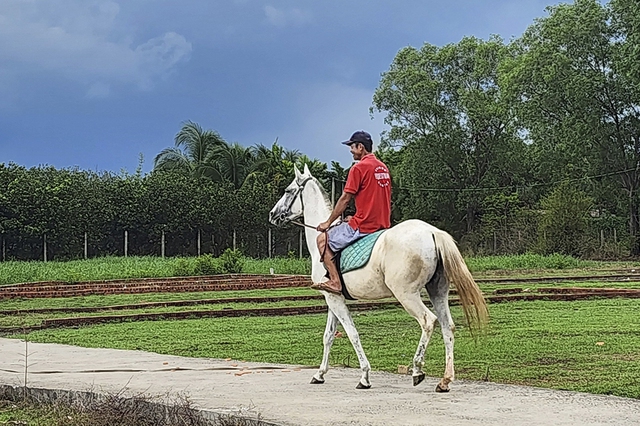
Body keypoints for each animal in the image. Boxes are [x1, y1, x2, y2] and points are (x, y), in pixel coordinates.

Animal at [268, 165, 488, 392]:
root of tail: (432, 232)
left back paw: (417, 369)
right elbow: (328, 336)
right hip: (438, 291)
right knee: (447, 326)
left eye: (287, 191)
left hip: (407, 295)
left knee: (428, 321)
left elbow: (352, 333)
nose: (272, 214)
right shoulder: (333, 298)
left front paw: (364, 376)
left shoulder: (334, 299)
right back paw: (445, 380)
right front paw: (320, 374)